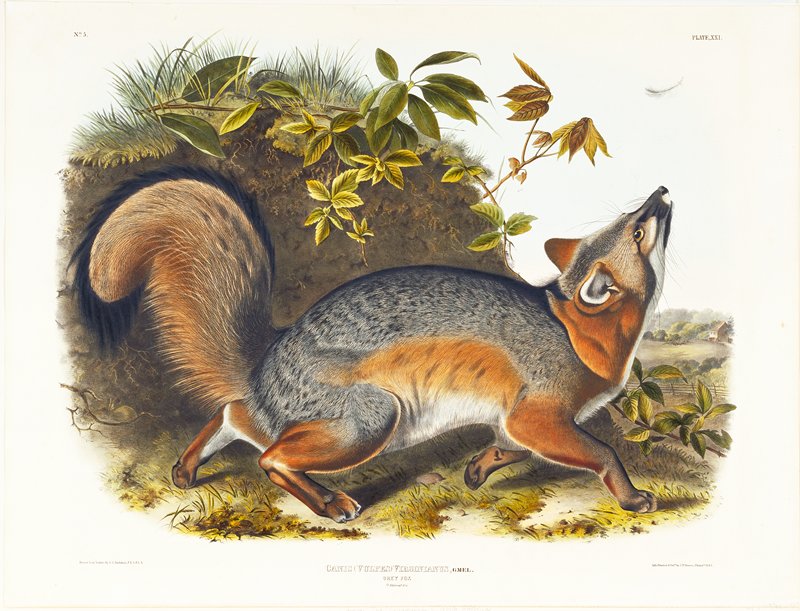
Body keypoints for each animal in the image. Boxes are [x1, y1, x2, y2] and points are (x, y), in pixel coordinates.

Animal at [72, 167, 673, 522]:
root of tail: (267, 361)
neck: (576, 329)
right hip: (373, 419)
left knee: (233, 414)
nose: (662, 191)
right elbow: (601, 452)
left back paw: (188, 466)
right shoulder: (539, 413)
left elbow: (508, 446)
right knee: (269, 455)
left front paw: (478, 470)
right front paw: (632, 496)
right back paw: (329, 501)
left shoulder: (517, 418)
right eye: (638, 229)